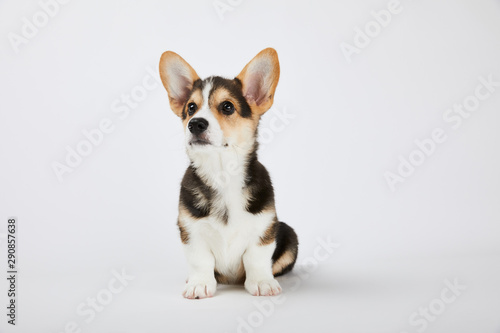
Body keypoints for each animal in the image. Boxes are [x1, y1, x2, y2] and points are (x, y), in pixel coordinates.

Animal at [159, 47, 296, 298]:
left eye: (227, 107)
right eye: (191, 107)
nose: (195, 124)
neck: (222, 172)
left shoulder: (264, 227)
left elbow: (256, 258)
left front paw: (262, 282)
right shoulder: (190, 230)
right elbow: (200, 260)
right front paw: (199, 284)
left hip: (289, 233)